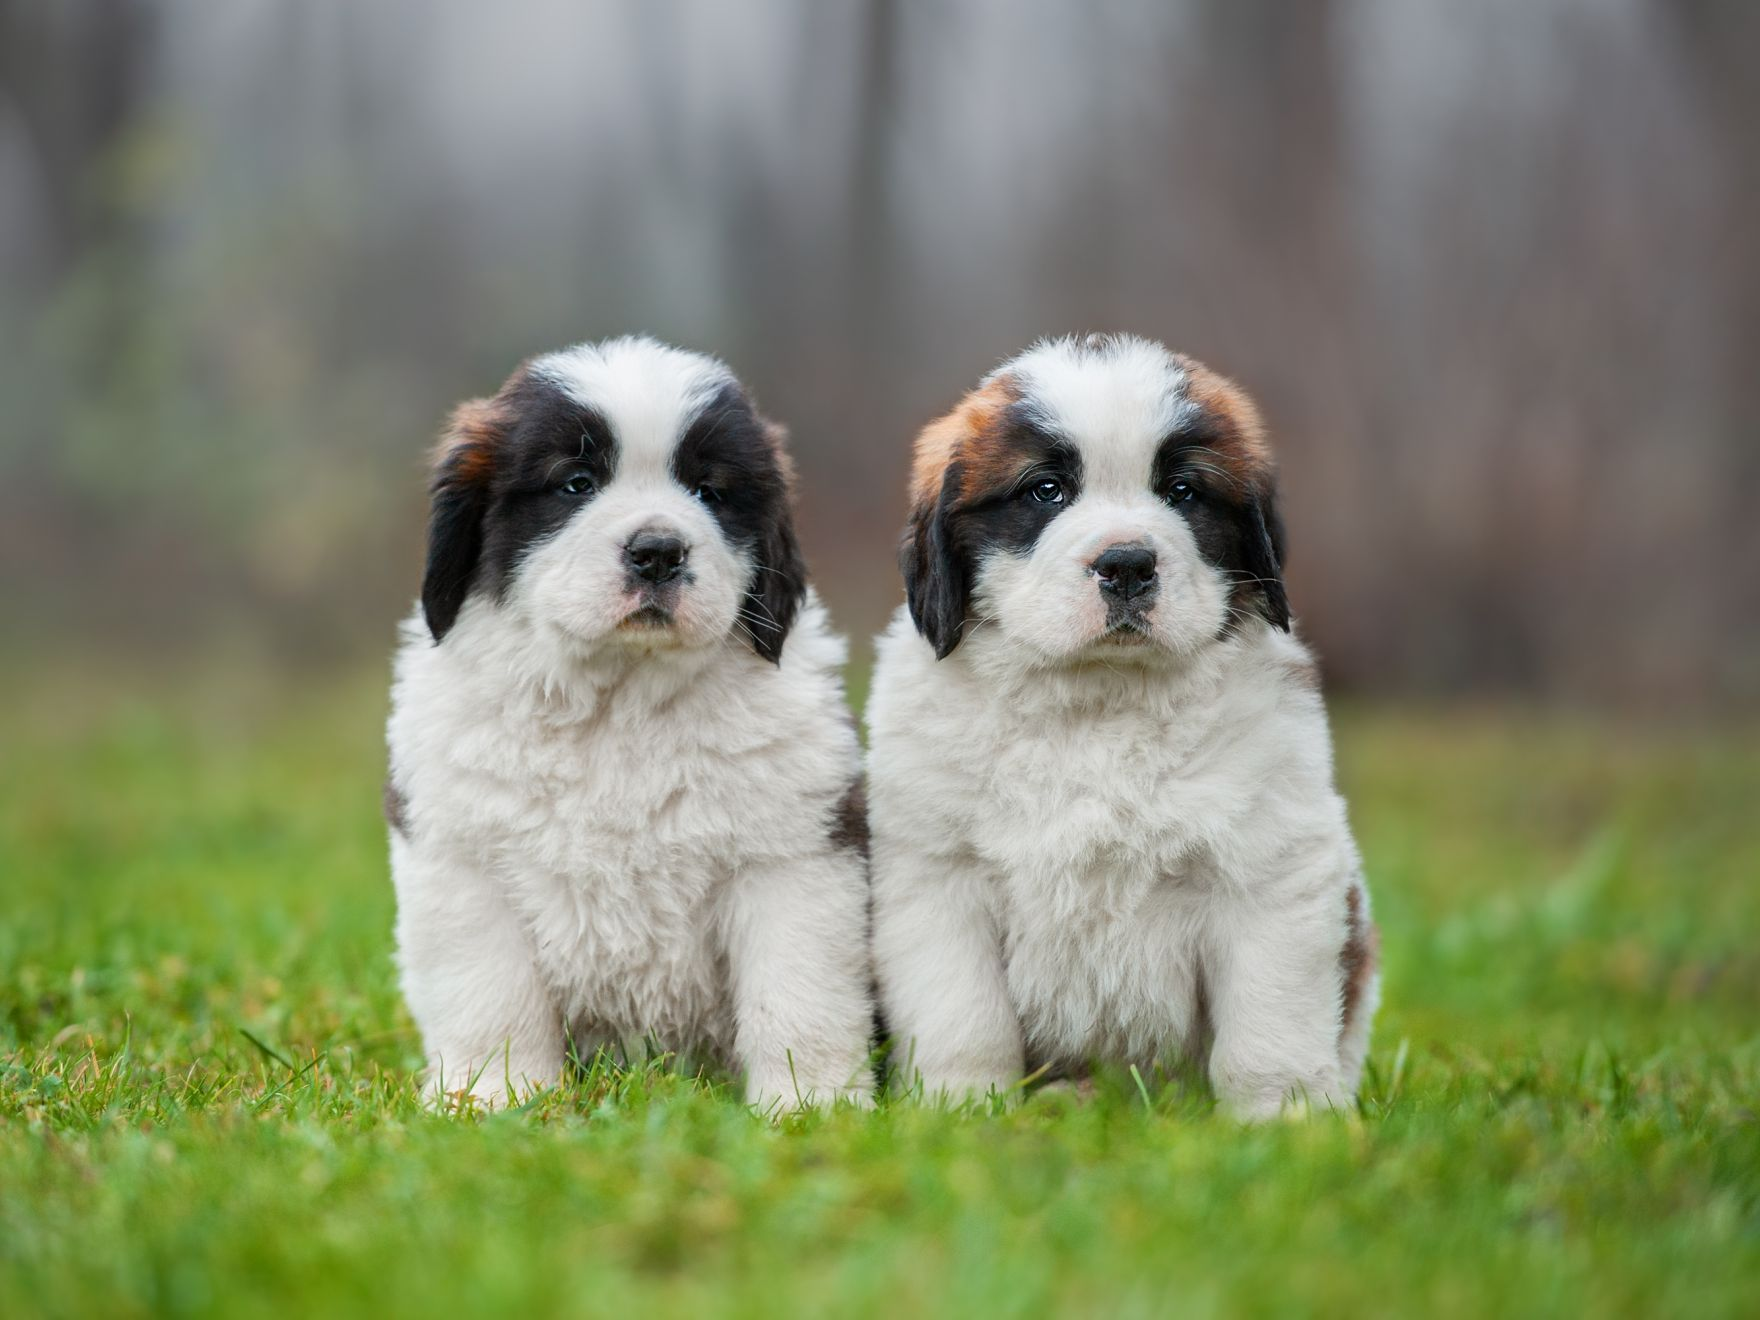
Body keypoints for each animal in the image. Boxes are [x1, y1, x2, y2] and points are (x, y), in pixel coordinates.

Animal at [390, 336, 872, 1112]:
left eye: (710, 491)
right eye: (576, 483)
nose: (658, 552)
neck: (621, 700)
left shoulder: (792, 857)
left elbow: (798, 994)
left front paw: (811, 1106)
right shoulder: (462, 858)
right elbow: (491, 995)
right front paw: (493, 1098)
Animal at [872, 330, 1379, 1119]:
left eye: (1183, 493)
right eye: (1045, 491)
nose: (1128, 565)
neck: (1099, 703)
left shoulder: (1268, 867)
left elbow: (1269, 1016)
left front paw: (1283, 1118)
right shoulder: (937, 876)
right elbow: (964, 1014)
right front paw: (963, 1109)